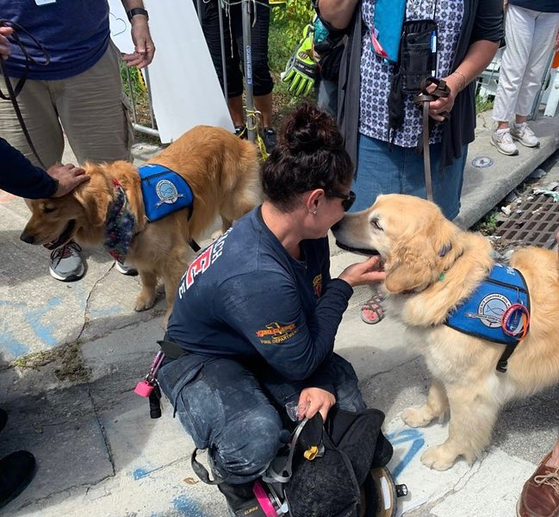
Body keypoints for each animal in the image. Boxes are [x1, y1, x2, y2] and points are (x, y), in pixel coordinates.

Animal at [21, 125, 262, 320]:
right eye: (33, 207)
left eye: (50, 209)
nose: (25, 238)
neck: (121, 207)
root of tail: (231, 134)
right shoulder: (140, 251)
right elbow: (146, 278)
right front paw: (146, 297)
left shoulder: (172, 256)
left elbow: (173, 292)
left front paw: (170, 316)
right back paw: (221, 233)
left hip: (233, 199)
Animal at [332, 192, 559, 468]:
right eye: (372, 204)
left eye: (376, 224)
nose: (334, 223)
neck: (441, 278)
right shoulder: (442, 364)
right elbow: (434, 394)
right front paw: (424, 416)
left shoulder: (469, 388)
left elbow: (459, 428)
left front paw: (445, 455)